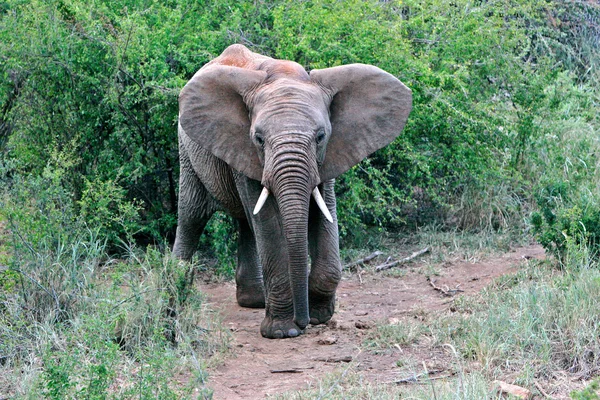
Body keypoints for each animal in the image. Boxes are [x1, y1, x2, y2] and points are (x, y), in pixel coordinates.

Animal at [171, 43, 410, 338]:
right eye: (258, 139)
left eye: (320, 136)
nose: (303, 321)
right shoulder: (246, 149)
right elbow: (270, 226)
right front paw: (282, 332)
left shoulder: (328, 156)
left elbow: (324, 211)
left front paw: (319, 316)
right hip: (187, 151)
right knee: (192, 216)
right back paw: (175, 294)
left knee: (245, 223)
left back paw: (254, 301)